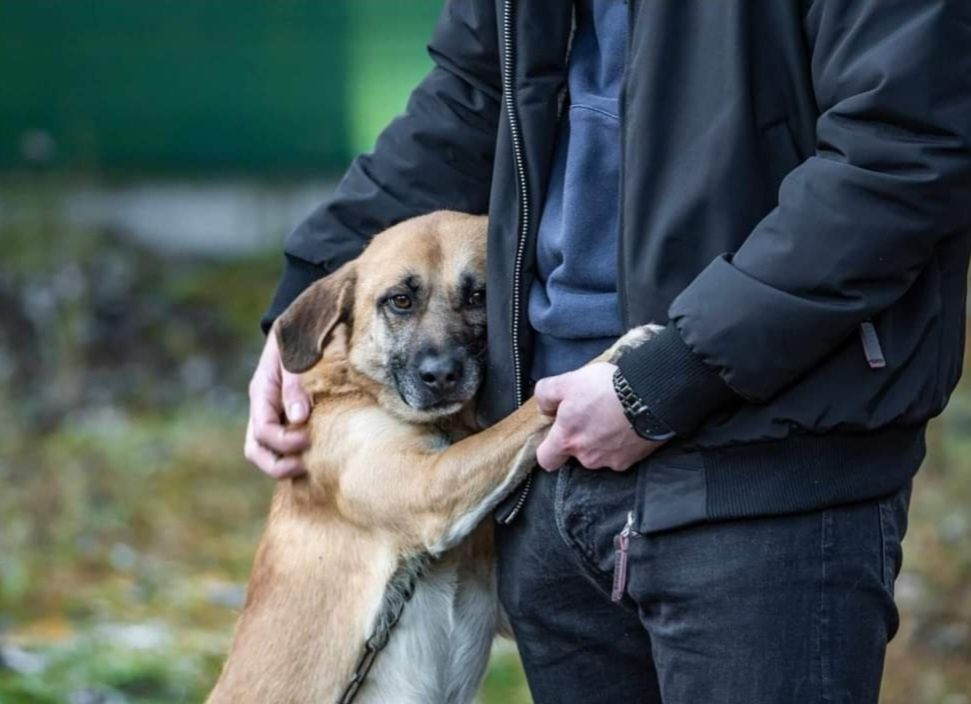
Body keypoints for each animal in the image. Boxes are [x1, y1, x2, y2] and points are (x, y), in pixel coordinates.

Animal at [208, 212, 656, 700]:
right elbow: (528, 410)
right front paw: (618, 351)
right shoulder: (431, 489)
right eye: (400, 300)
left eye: (478, 296)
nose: (441, 375)